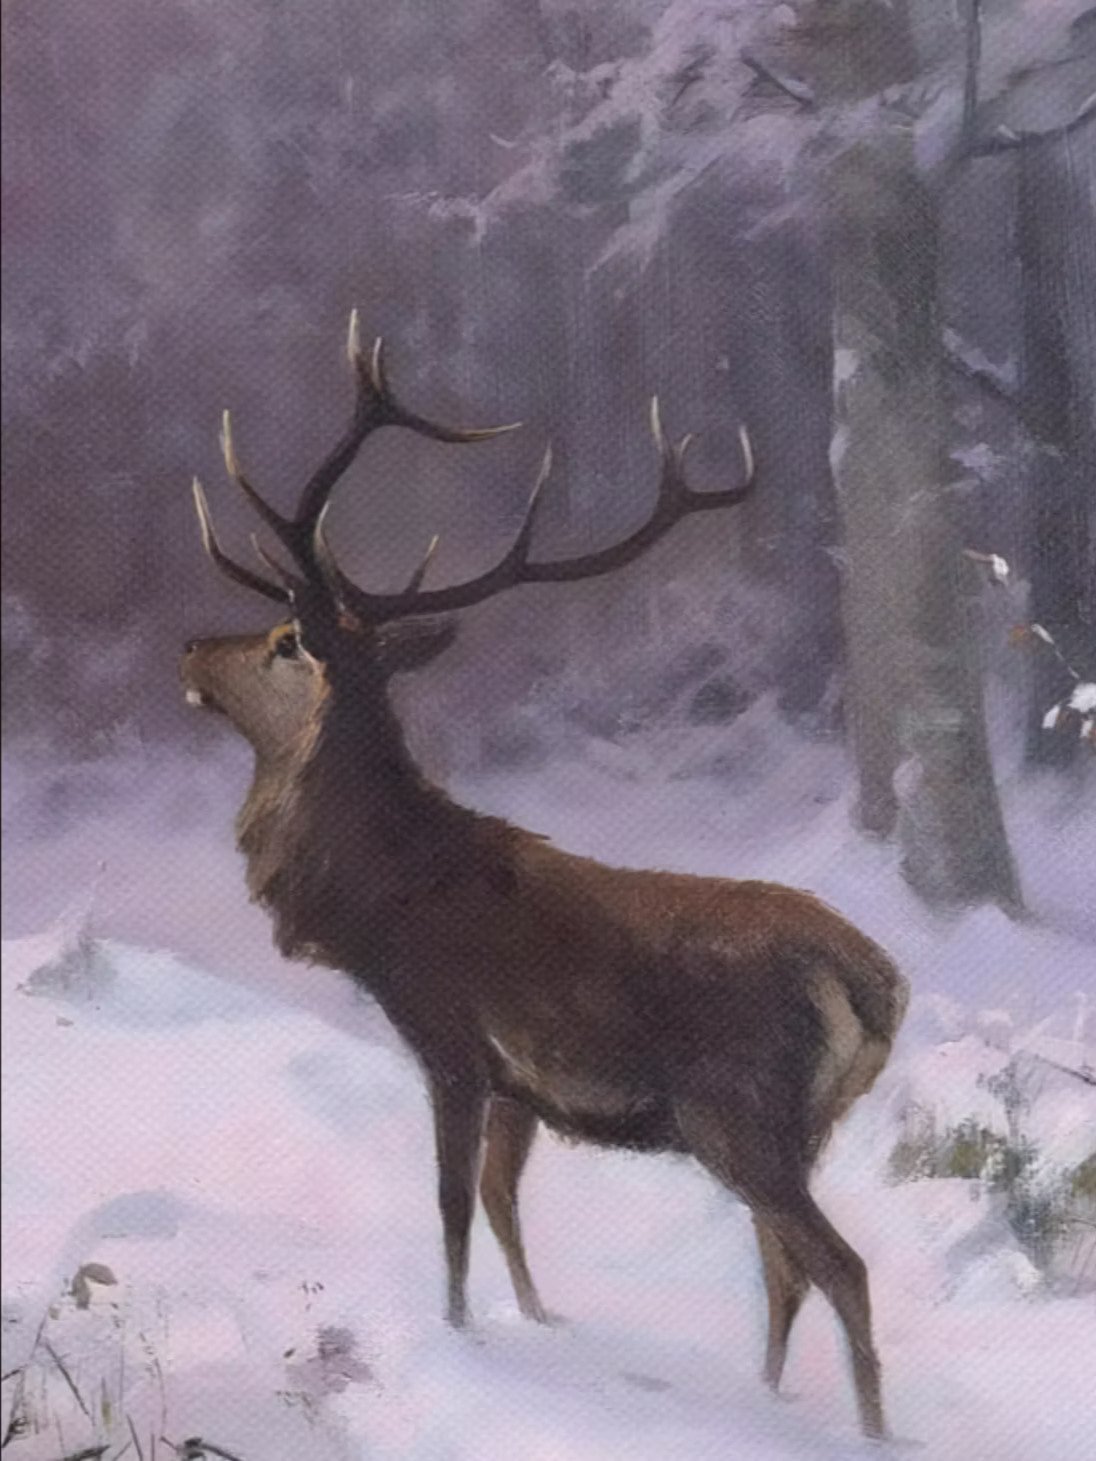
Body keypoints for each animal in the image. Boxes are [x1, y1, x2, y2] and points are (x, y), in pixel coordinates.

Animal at [181, 312, 908, 1440]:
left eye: (284, 639)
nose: (189, 650)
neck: (382, 898)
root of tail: (876, 982)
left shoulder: (448, 1038)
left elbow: (450, 1204)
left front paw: (457, 1332)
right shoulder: (521, 1083)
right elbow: (502, 1200)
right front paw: (535, 1318)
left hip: (739, 1111)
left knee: (839, 1266)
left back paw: (866, 1430)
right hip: (800, 1128)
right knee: (783, 1264)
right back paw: (767, 1394)